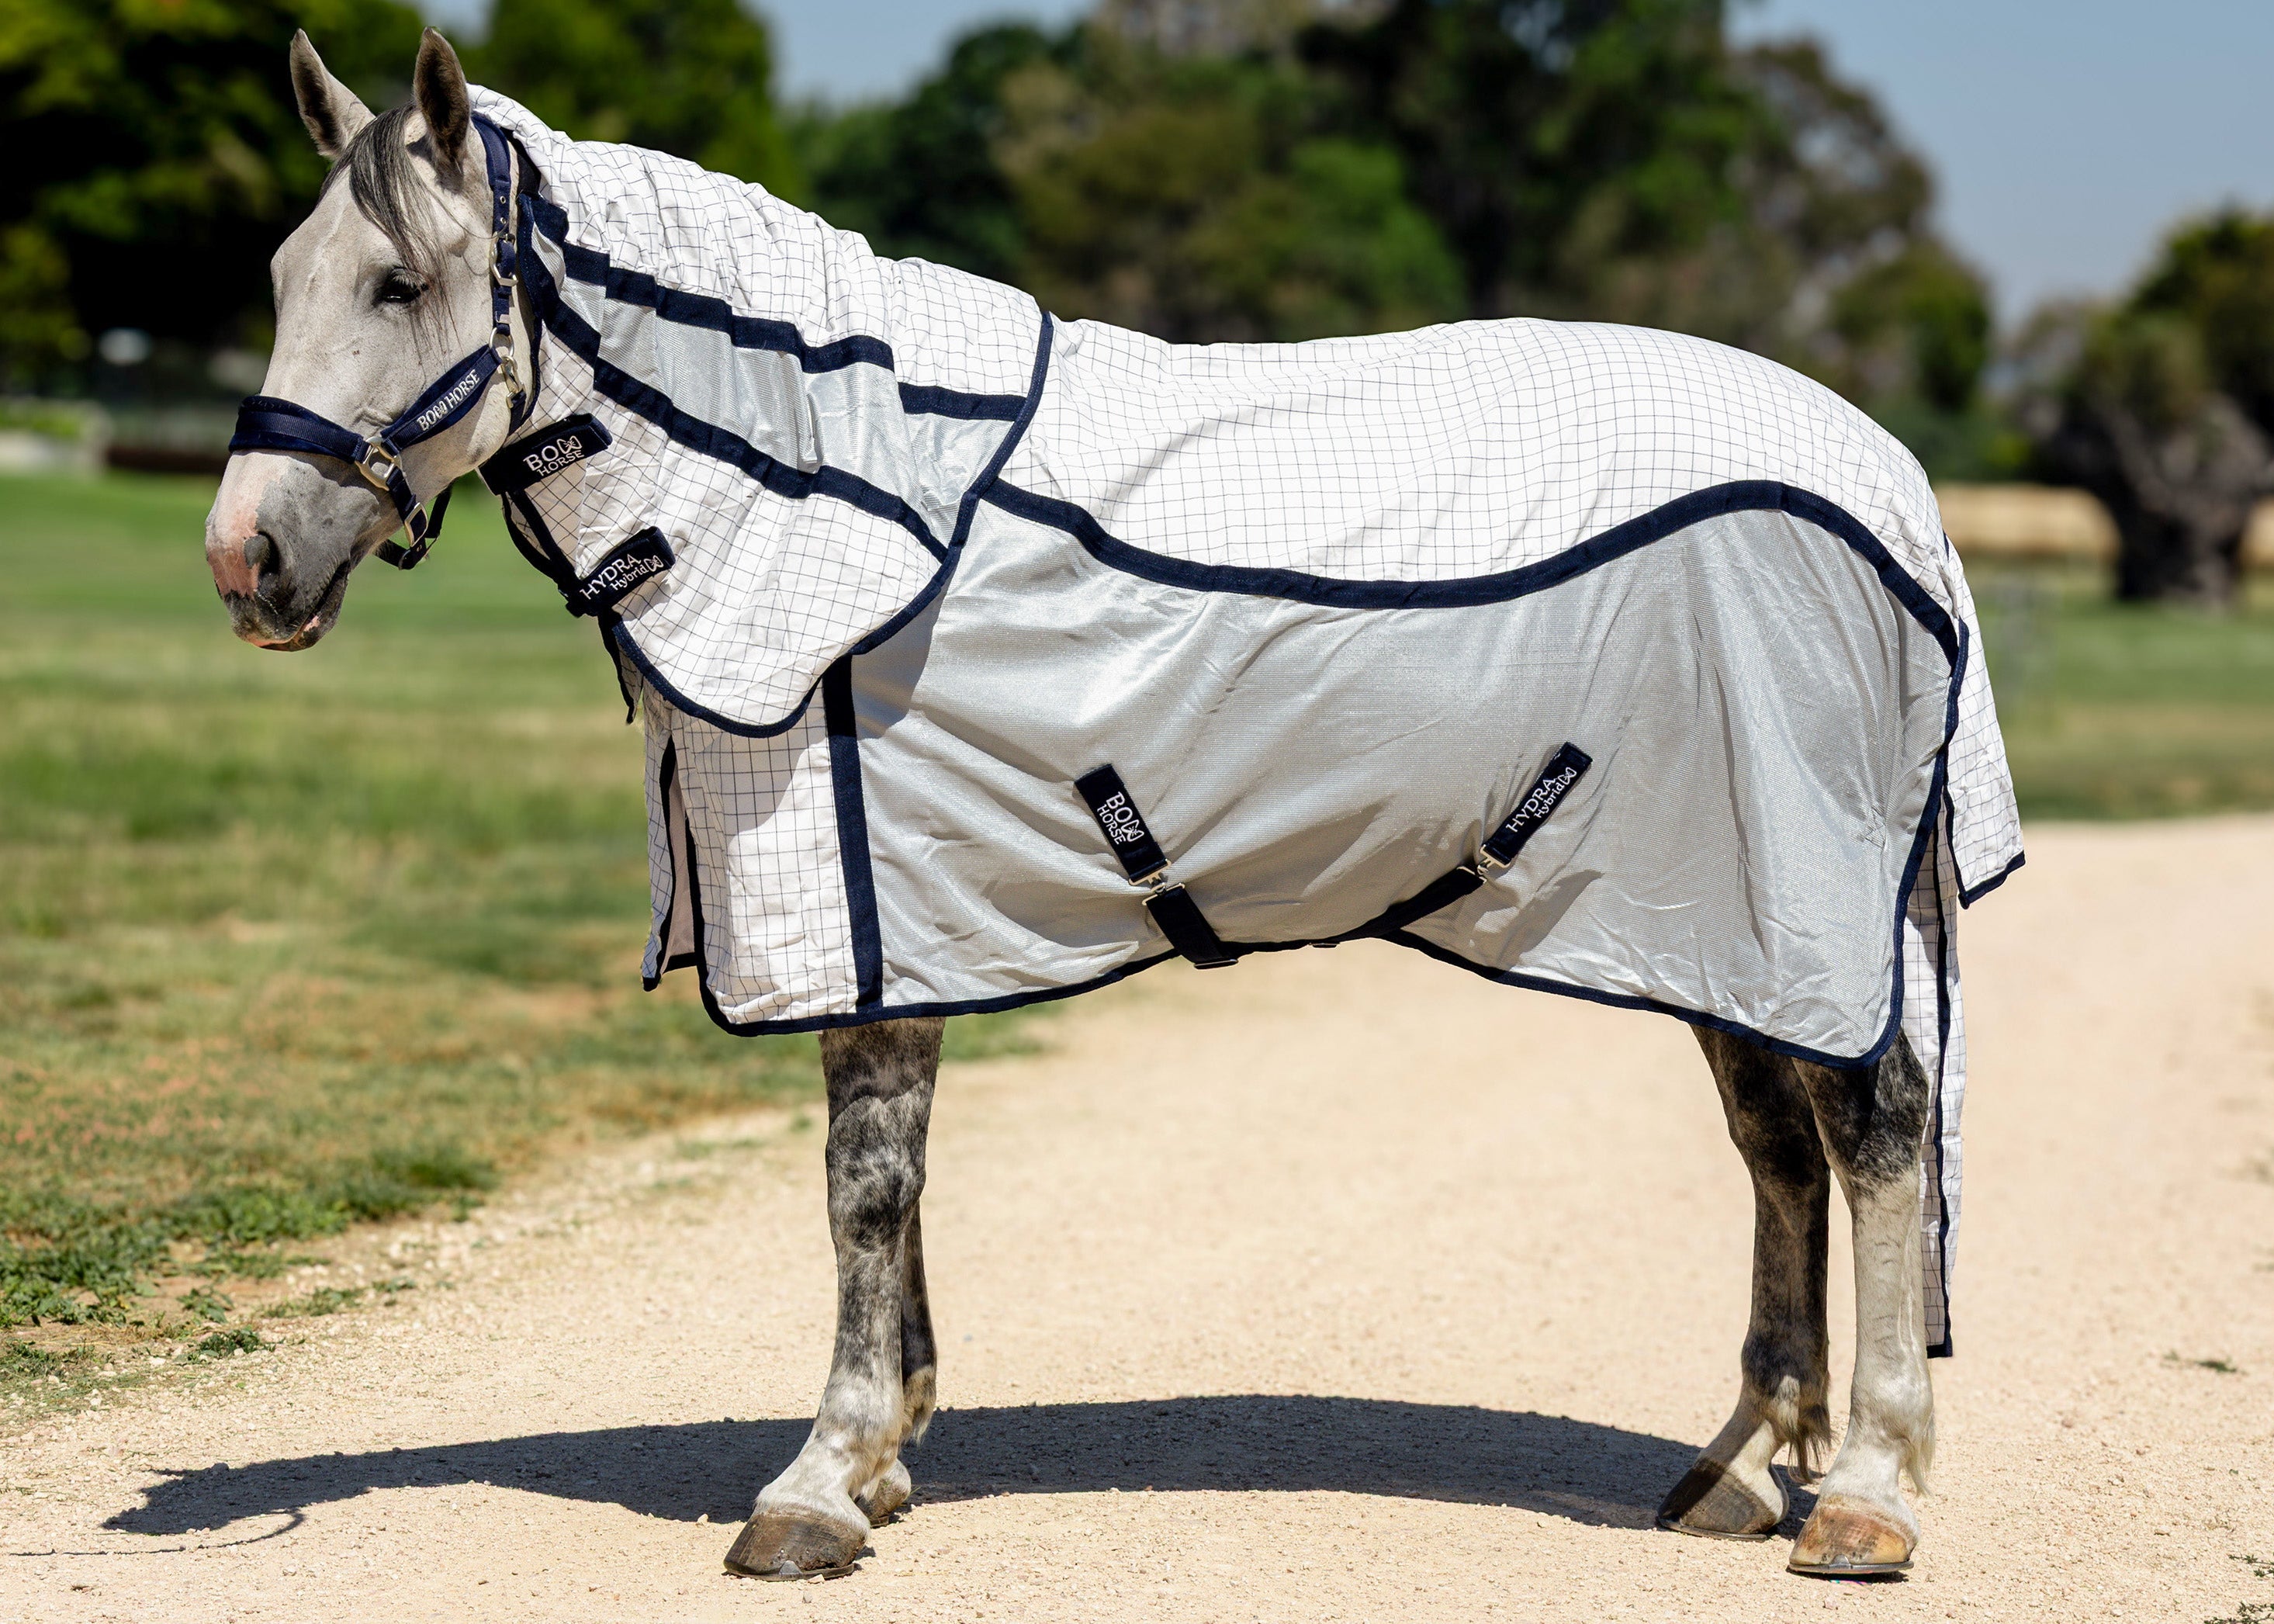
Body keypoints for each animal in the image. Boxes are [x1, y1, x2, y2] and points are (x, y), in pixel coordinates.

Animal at [204, 28, 2021, 1582]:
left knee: (1871, 1134)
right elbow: (895, 1185)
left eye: (396, 280)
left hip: (1789, 896)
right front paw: (884, 1453)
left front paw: (820, 1478)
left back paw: (1864, 1491)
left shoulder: (871, 903)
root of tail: (1893, 489)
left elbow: (863, 1184)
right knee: (1778, 1153)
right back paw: (1738, 1463)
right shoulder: (909, 922)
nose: (245, 559)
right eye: (279, 275)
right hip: (1710, 917)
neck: (835, 496)